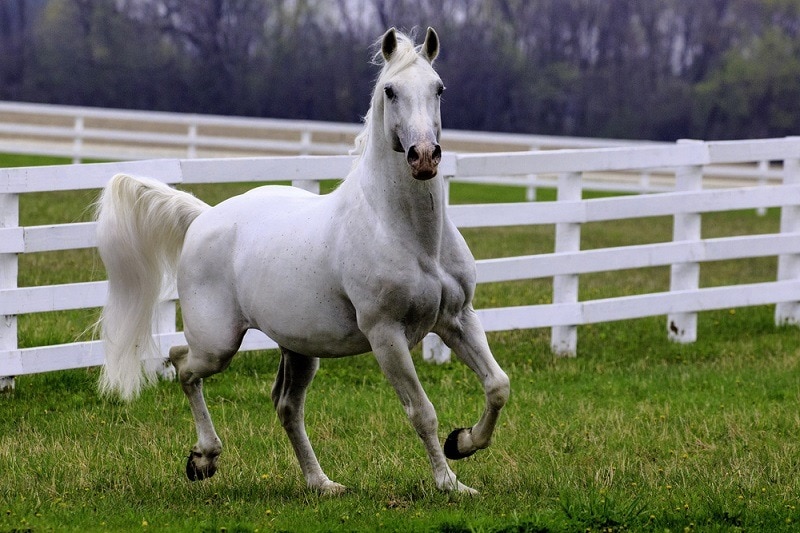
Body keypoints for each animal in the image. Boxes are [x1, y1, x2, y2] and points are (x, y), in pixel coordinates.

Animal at [94, 28, 506, 494]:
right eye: (390, 90)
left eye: (439, 88)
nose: (423, 156)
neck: (413, 238)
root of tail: (203, 217)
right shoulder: (386, 334)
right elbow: (422, 412)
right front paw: (448, 483)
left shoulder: (457, 318)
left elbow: (497, 386)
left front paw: (463, 443)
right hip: (217, 343)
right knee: (182, 363)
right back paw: (203, 458)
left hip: (299, 347)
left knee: (286, 405)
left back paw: (321, 483)